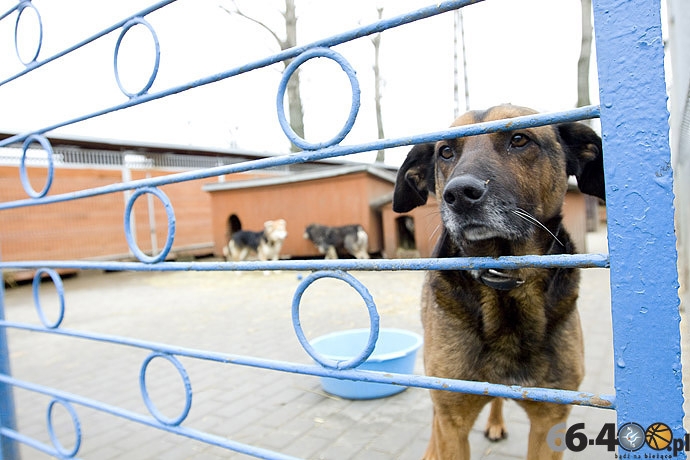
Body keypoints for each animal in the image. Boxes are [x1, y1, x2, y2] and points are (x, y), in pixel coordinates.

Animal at [392, 105, 600, 460]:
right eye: (445, 152)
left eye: (519, 139)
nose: (459, 195)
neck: (503, 276)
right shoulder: (453, 417)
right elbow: (443, 423)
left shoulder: (551, 419)